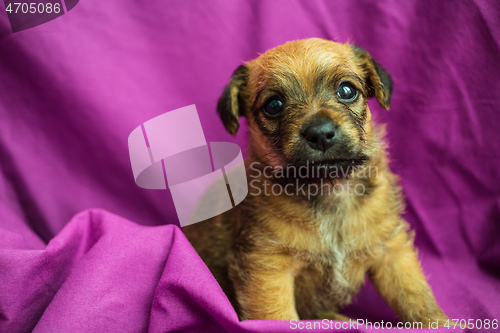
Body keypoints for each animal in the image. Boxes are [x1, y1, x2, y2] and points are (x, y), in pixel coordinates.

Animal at [183, 38, 450, 324]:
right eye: (273, 105)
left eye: (347, 90)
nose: (320, 133)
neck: (330, 191)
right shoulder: (267, 266)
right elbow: (278, 316)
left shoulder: (391, 250)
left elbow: (416, 297)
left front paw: (445, 323)